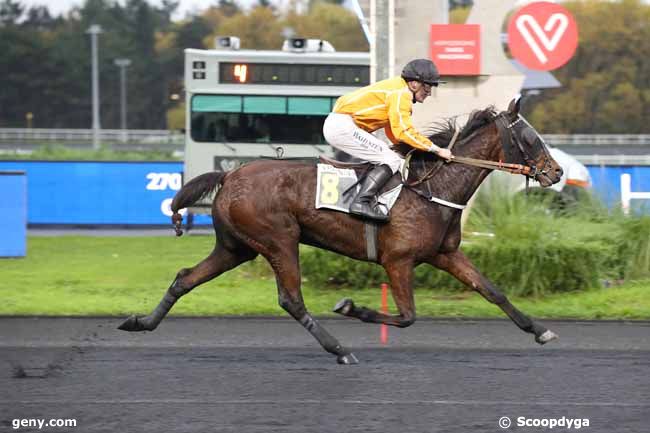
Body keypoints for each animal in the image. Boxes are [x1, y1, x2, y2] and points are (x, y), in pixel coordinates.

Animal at [120, 97, 560, 362]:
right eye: (530, 137)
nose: (555, 173)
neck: (434, 189)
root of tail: (230, 176)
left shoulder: (444, 254)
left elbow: (492, 291)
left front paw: (540, 330)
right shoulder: (398, 260)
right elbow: (407, 316)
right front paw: (352, 308)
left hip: (235, 247)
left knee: (185, 278)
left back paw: (141, 322)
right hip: (279, 240)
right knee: (291, 300)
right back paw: (339, 349)